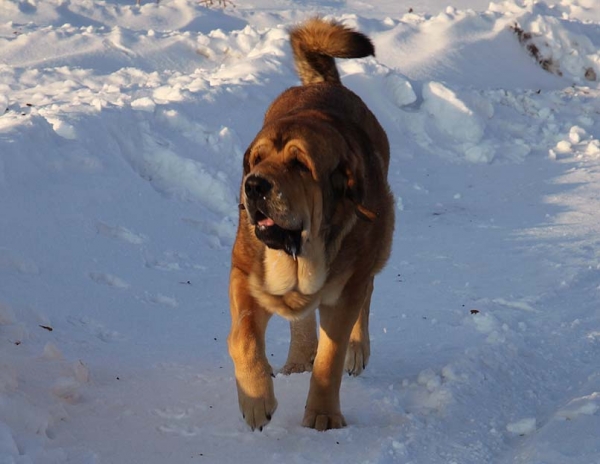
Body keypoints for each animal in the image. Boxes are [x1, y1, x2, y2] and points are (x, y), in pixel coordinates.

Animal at [226, 18, 394, 432]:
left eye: (300, 164)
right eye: (256, 158)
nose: (254, 184)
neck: (299, 255)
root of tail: (324, 83)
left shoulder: (346, 290)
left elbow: (329, 359)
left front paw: (323, 416)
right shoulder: (244, 277)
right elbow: (243, 338)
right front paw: (256, 401)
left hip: (378, 247)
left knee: (365, 296)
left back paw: (355, 349)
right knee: (300, 323)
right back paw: (298, 360)